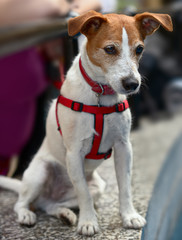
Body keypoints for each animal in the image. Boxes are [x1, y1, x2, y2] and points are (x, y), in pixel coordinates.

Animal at [0, 9, 172, 236]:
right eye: (110, 49)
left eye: (139, 49)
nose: (132, 84)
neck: (100, 93)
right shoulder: (74, 153)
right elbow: (84, 194)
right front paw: (88, 222)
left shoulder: (123, 147)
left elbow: (125, 187)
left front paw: (129, 216)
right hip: (40, 172)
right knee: (21, 203)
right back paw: (27, 215)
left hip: (97, 186)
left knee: (50, 205)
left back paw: (65, 214)